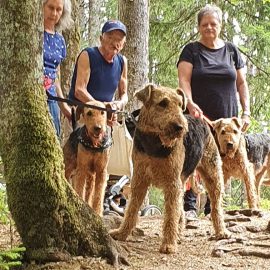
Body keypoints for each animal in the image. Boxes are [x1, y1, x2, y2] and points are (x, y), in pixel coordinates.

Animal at [108, 85, 229, 254]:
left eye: (179, 104)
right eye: (163, 103)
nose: (180, 127)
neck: (154, 142)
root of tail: (201, 120)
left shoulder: (172, 182)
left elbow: (170, 214)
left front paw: (168, 245)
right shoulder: (139, 179)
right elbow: (131, 209)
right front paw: (121, 233)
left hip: (212, 175)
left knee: (216, 206)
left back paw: (221, 232)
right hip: (183, 180)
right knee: (181, 209)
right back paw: (179, 233)